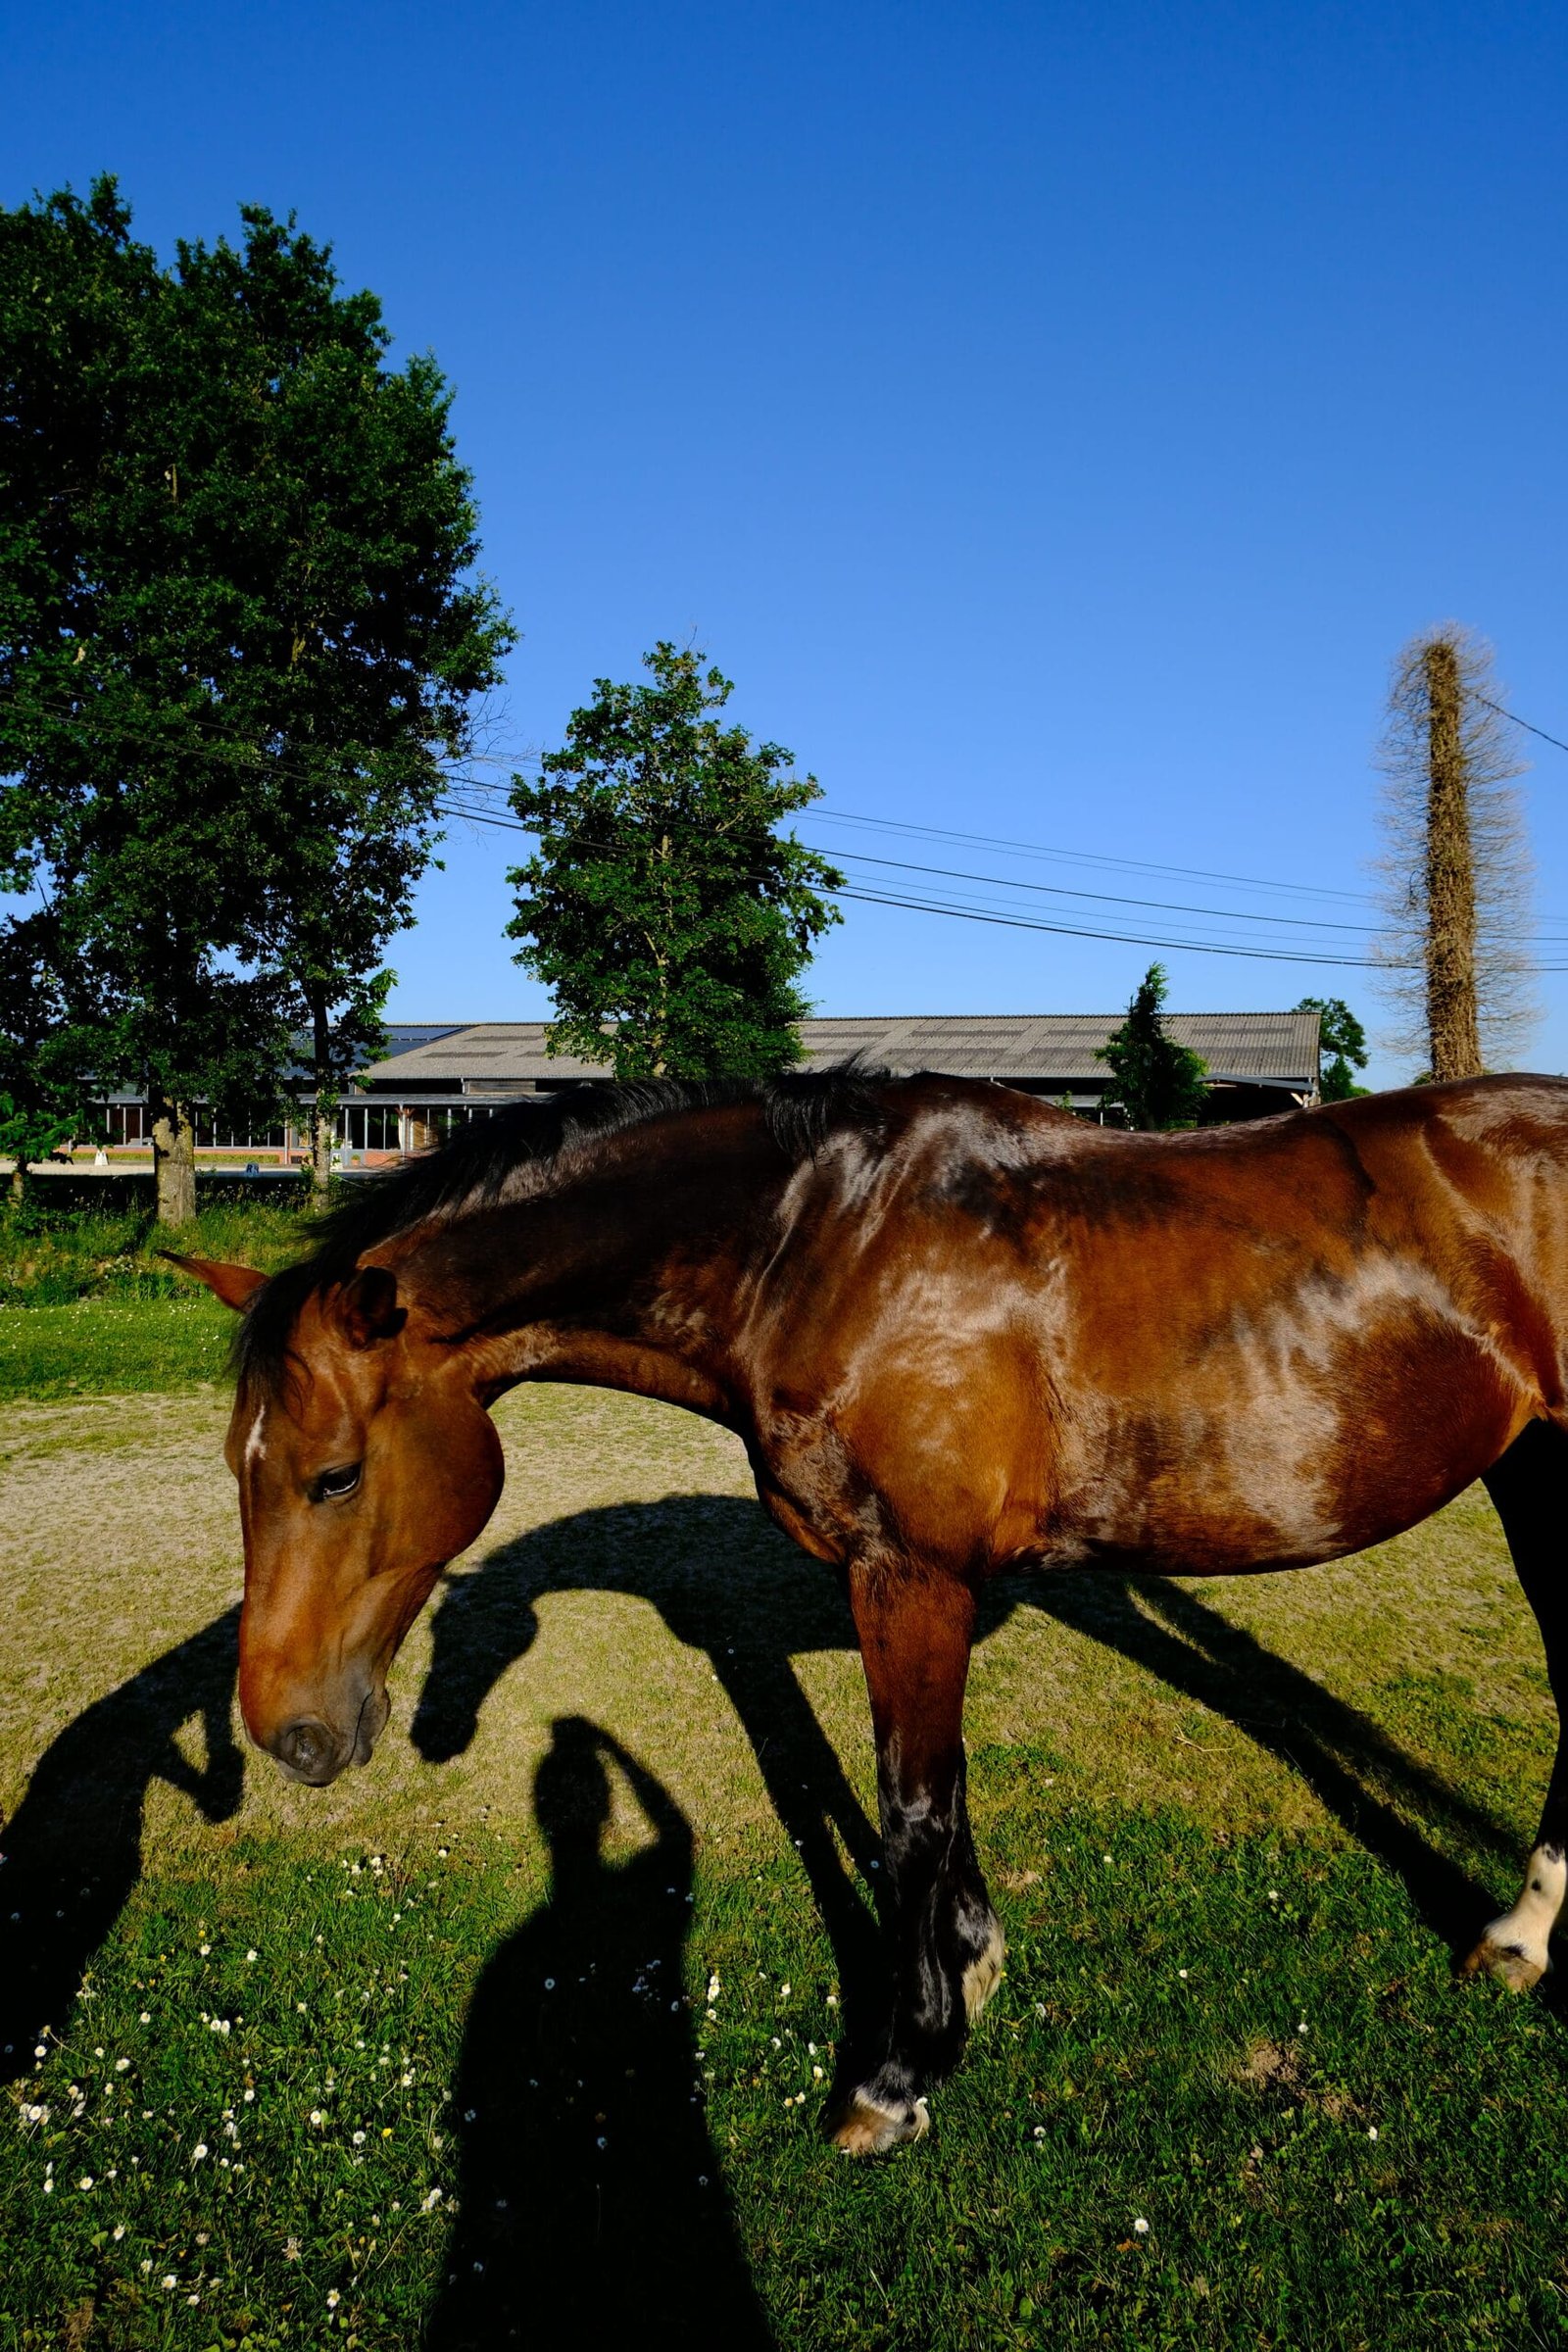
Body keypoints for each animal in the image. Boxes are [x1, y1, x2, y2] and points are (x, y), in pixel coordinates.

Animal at [174, 1067, 1568, 2156]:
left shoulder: (910, 1575)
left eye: (332, 1474)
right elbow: (935, 1795)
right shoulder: (907, 1585)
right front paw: (974, 1965)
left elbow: (908, 1808)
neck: (822, 1245)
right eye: (239, 1469)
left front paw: (898, 2075)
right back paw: (1516, 1938)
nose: (290, 1731)